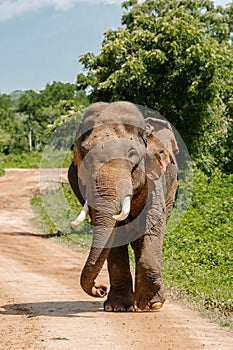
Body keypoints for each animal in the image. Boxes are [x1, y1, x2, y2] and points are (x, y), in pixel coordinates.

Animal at [68, 101, 178, 312]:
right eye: (85, 156)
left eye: (132, 154)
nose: (100, 289)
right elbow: (114, 236)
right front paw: (118, 307)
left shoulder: (155, 178)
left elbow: (152, 225)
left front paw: (150, 305)